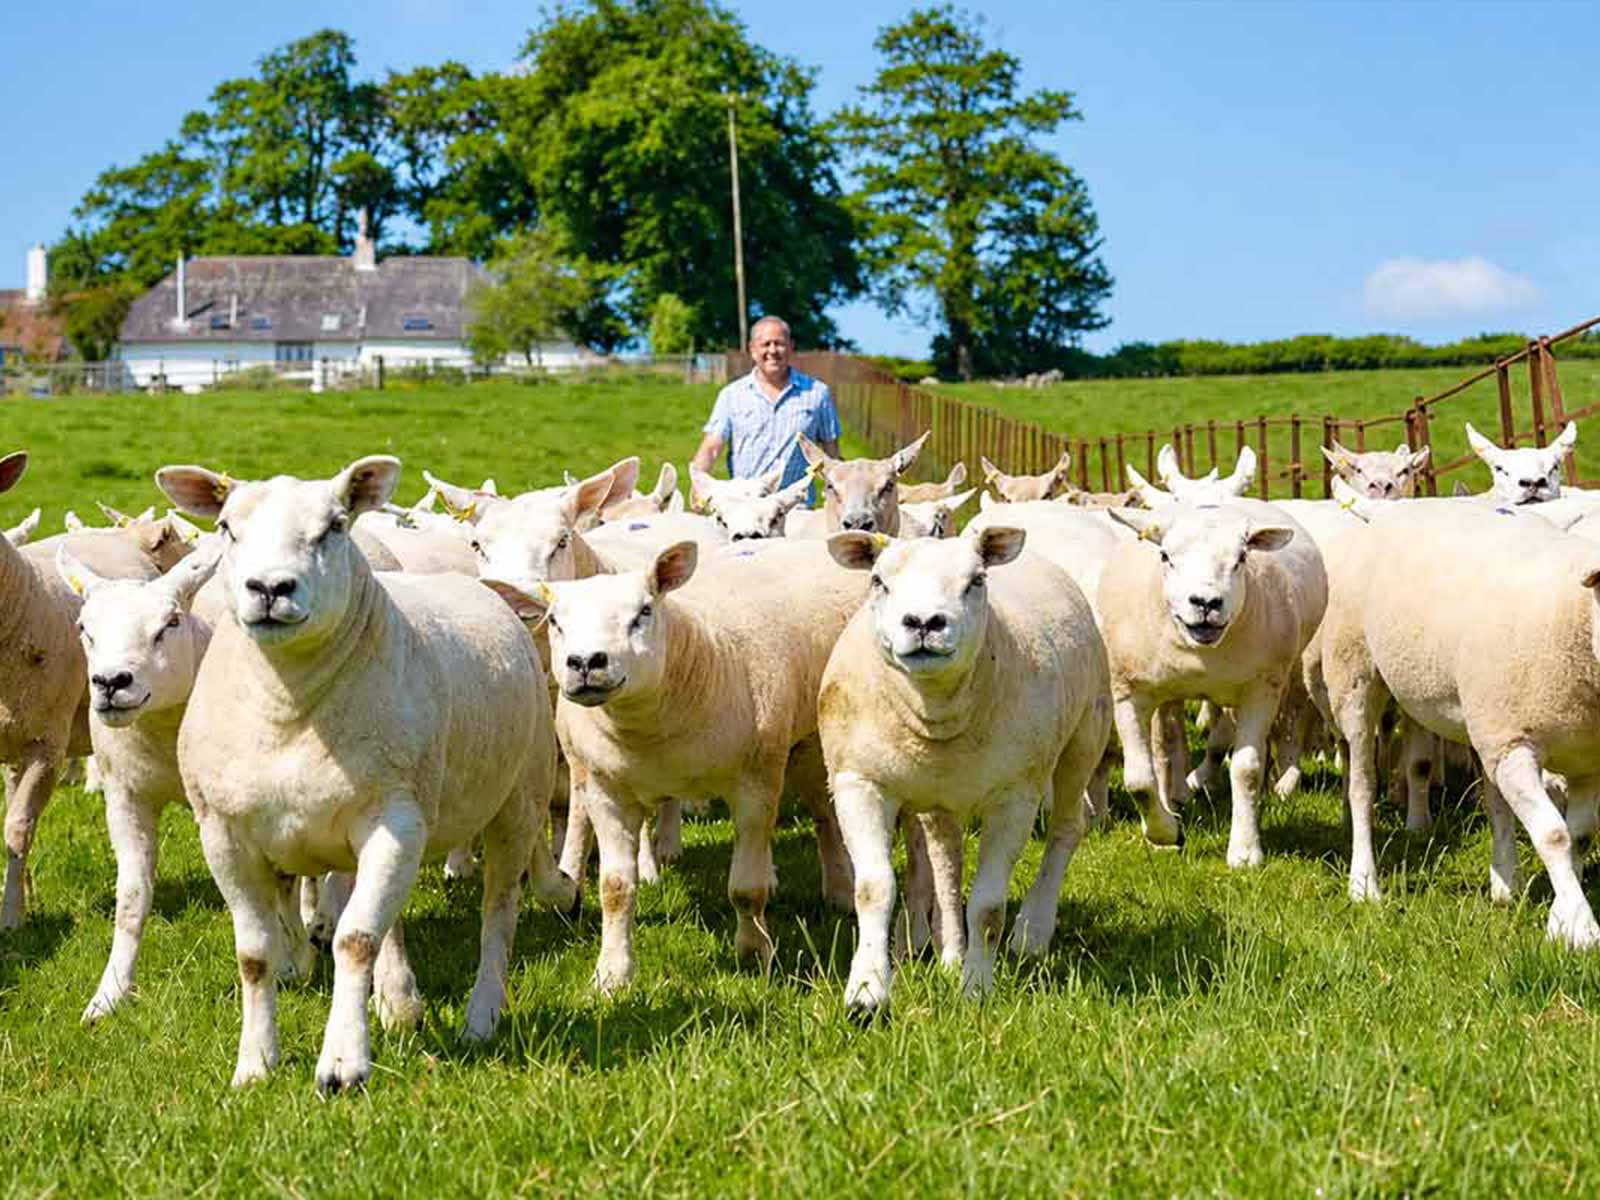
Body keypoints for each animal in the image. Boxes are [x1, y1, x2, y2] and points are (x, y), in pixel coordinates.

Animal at [156, 456, 575, 1092]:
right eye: (226, 526)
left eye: (334, 526)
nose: (270, 589)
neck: (288, 705)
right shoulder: (223, 832)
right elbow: (255, 953)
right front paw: (254, 1064)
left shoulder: (393, 819)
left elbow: (354, 940)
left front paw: (343, 1063)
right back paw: (400, 998)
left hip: (516, 802)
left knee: (498, 915)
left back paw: (481, 1017)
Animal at [490, 537, 870, 994]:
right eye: (556, 622)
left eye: (644, 612)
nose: (585, 662)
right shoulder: (606, 791)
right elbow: (615, 888)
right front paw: (611, 974)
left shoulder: (754, 785)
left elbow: (746, 888)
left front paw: (753, 953)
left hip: (813, 739)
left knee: (824, 815)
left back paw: (841, 890)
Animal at [819, 527, 1111, 1018]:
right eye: (878, 580)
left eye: (976, 580)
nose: (923, 622)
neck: (933, 709)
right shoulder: (858, 781)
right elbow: (873, 888)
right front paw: (867, 992)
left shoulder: (1015, 797)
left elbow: (989, 907)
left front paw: (977, 989)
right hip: (942, 797)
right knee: (947, 860)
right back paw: (952, 954)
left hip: (1084, 736)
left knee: (1069, 827)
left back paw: (1032, 931)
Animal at [1099, 499, 1326, 866]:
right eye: (1165, 556)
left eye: (1241, 558)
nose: (1206, 603)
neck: (1199, 653)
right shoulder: (1129, 691)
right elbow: (1138, 780)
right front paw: (1165, 834)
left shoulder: (1260, 690)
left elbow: (1246, 769)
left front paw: (1245, 851)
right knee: (1164, 743)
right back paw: (1172, 800)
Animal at [1319, 502, 1600, 944]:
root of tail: (1398, 506)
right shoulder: (1512, 742)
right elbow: (1555, 835)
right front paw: (1581, 927)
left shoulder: (1587, 758)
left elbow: (1581, 837)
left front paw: (1562, 915)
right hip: (1354, 674)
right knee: (1361, 787)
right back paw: (1364, 884)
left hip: (1467, 711)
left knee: (1494, 800)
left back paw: (1505, 885)